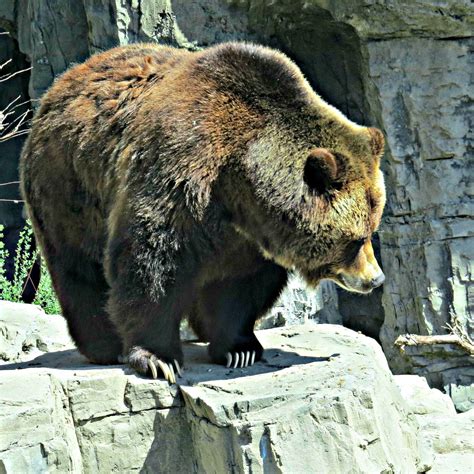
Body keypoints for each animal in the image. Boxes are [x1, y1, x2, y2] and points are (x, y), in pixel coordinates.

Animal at [20, 40, 386, 382]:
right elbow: (152, 262)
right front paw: (158, 358)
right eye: (356, 239)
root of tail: (63, 82)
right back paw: (105, 345)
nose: (375, 279)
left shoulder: (247, 239)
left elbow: (239, 286)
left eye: (372, 229)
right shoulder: (181, 169)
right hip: (69, 184)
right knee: (79, 265)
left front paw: (240, 348)